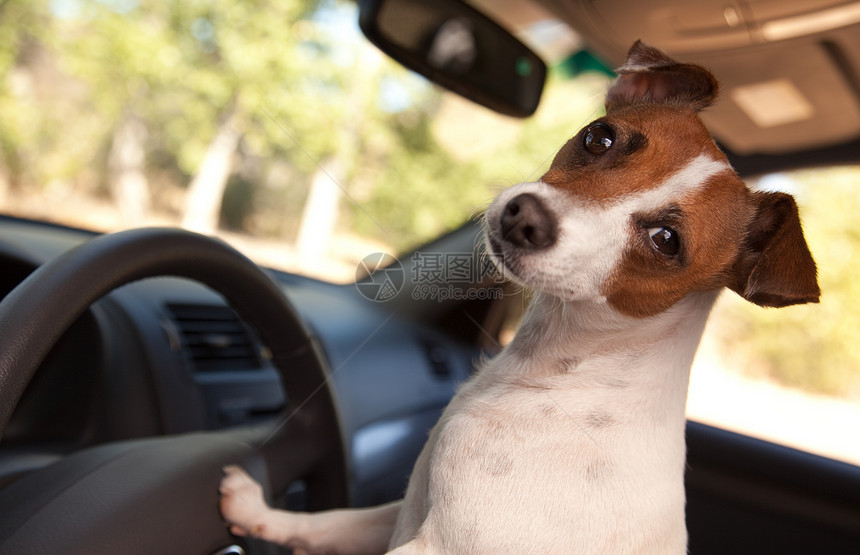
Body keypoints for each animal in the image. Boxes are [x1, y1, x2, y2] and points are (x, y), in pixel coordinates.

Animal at [217, 41, 820, 552]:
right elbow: (331, 523)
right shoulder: (407, 508)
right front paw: (260, 511)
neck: (566, 371)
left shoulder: (439, 546)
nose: (525, 217)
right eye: (599, 136)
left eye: (666, 241)